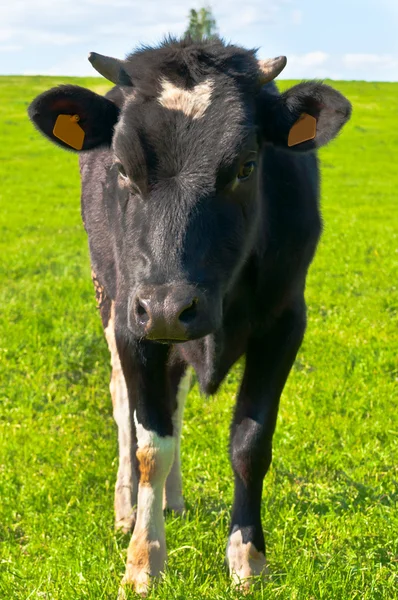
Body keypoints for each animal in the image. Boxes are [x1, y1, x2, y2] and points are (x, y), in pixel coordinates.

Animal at [28, 36, 352, 596]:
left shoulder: (286, 321)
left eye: (246, 166)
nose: (166, 306)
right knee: (124, 403)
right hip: (111, 299)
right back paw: (127, 507)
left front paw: (248, 559)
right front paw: (142, 561)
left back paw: (174, 500)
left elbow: (249, 444)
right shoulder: (132, 320)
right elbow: (149, 446)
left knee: (174, 399)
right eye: (121, 167)